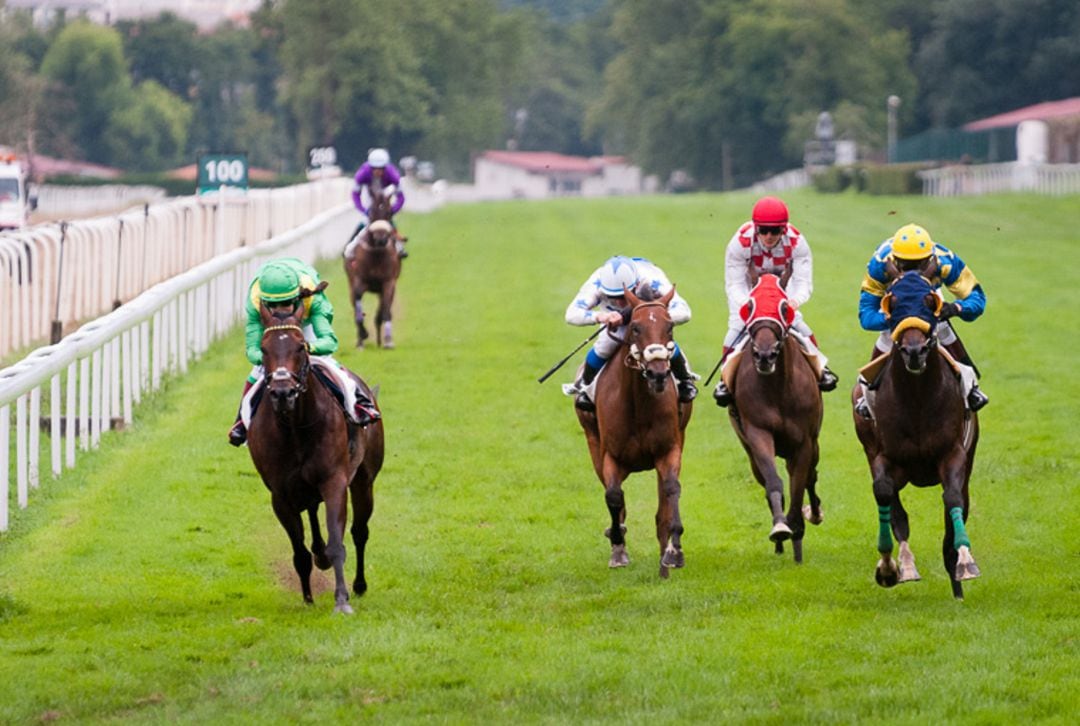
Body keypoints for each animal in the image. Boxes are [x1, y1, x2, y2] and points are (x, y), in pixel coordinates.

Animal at [246, 300, 384, 613]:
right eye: (263, 348)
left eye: (301, 347)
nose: (282, 393)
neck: (295, 427)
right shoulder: (280, 495)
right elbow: (299, 551)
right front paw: (308, 599)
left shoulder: (335, 482)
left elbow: (337, 543)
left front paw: (341, 600)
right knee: (311, 515)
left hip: (364, 480)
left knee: (360, 531)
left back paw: (359, 585)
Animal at [345, 190, 401, 347]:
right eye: (372, 211)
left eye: (389, 212)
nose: (381, 239)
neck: (377, 254)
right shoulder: (360, 280)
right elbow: (358, 300)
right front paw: (363, 334)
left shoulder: (388, 282)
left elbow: (386, 310)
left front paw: (388, 341)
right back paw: (360, 339)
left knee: (380, 312)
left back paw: (379, 340)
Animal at [574, 287, 691, 574]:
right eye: (636, 327)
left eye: (670, 326)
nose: (658, 373)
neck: (639, 403)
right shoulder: (611, 456)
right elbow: (614, 496)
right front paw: (617, 544)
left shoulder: (669, 450)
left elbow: (672, 489)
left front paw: (674, 550)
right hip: (592, 442)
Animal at [730, 272, 820, 561]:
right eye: (749, 306)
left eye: (784, 308)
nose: (765, 355)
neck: (777, 388)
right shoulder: (758, 434)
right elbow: (774, 481)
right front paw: (781, 528)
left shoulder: (804, 443)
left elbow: (799, 485)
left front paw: (798, 532)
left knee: (811, 476)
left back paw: (814, 513)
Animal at [855, 269, 984, 596]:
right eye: (893, 303)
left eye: (931, 302)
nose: (914, 352)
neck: (917, 400)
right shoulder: (883, 457)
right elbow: (884, 495)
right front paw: (890, 567)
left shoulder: (953, 453)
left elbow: (953, 498)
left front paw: (965, 561)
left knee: (958, 503)